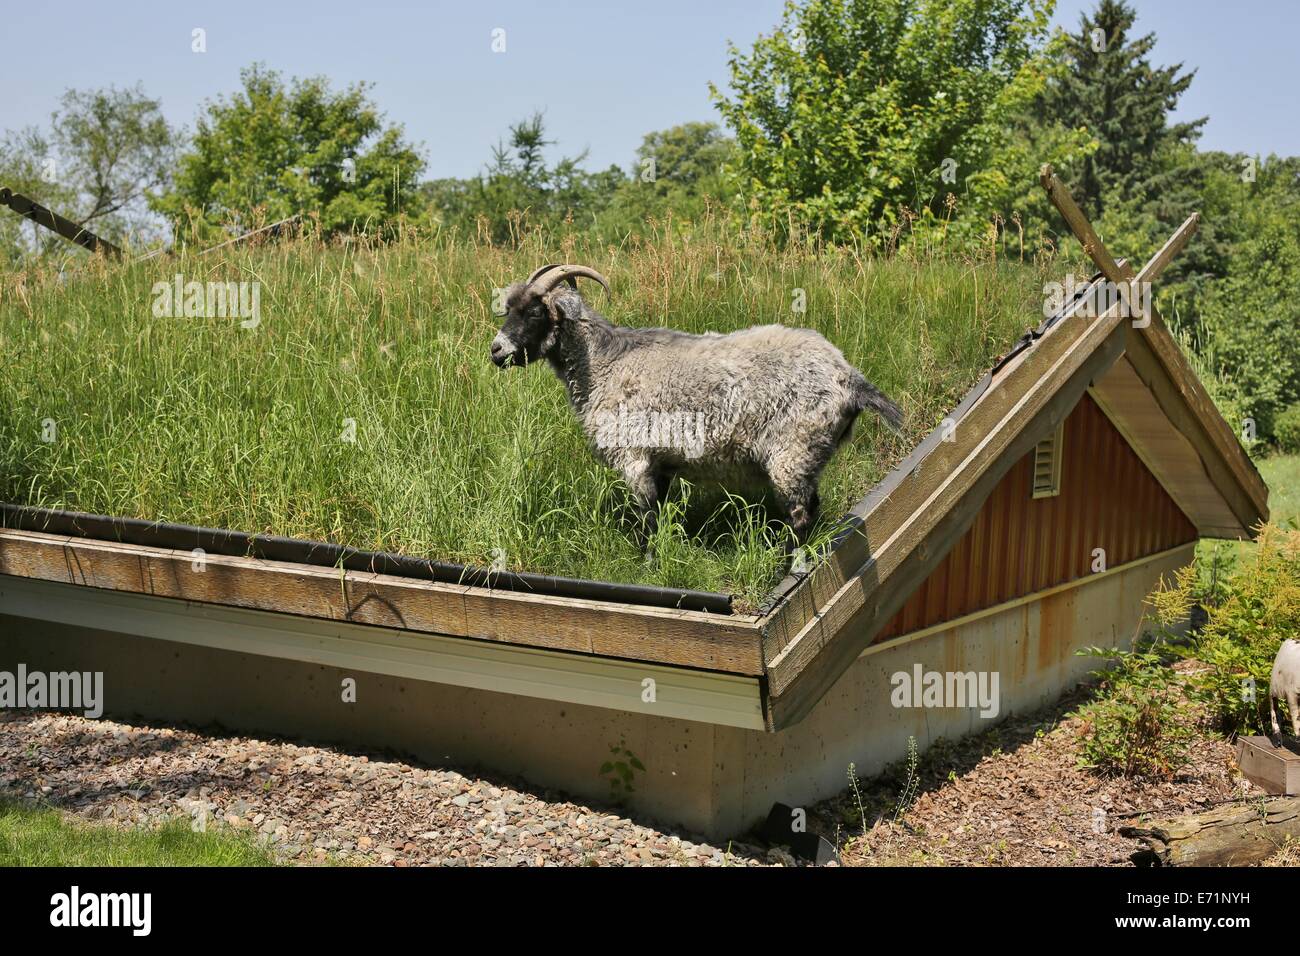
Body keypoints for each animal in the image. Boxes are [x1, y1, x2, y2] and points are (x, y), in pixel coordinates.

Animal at [488, 267, 904, 554]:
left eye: (535, 313)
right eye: (509, 310)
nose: (495, 350)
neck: (605, 364)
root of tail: (848, 377)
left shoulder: (634, 457)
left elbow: (648, 519)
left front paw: (648, 563)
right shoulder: (659, 462)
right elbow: (661, 513)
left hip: (793, 449)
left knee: (801, 513)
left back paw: (785, 565)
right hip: (808, 453)